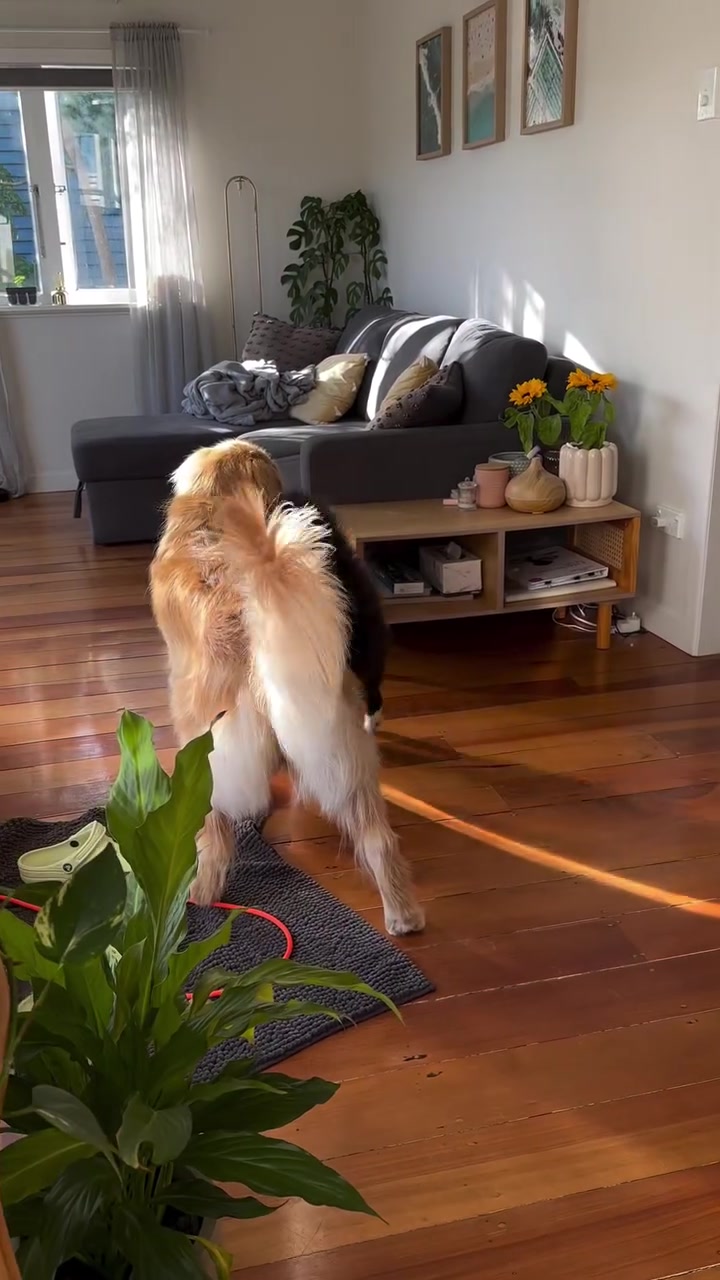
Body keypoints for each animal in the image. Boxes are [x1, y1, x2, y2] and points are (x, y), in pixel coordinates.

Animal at [150, 438, 424, 936]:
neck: (214, 515)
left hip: (205, 760)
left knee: (213, 836)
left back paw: (199, 893)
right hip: (347, 758)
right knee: (379, 840)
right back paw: (403, 915)